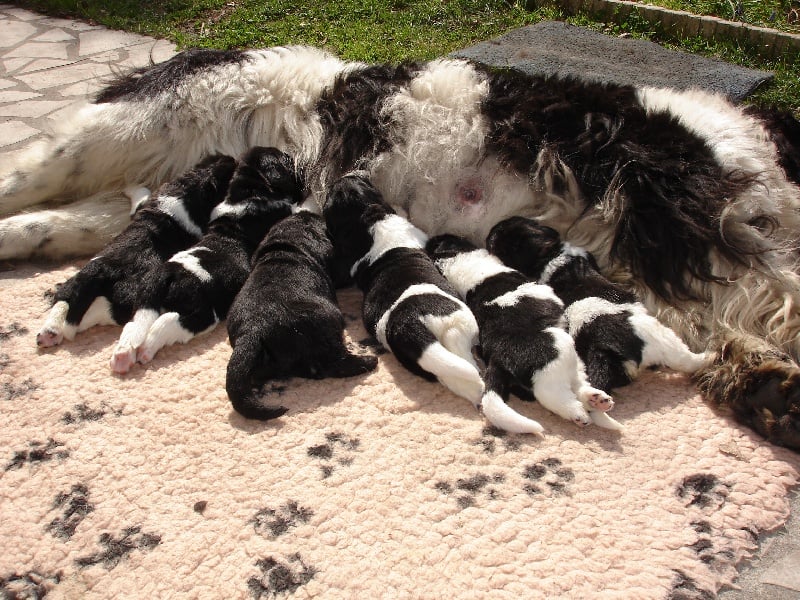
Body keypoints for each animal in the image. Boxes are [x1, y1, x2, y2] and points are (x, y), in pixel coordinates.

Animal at [109, 148, 304, 372]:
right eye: (285, 159)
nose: (295, 157)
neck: (248, 192)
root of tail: (169, 271)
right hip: (203, 314)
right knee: (167, 322)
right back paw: (145, 350)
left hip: (145, 299)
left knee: (136, 323)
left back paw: (123, 353)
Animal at [324, 171, 544, 434]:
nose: (350, 174)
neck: (368, 219)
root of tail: (408, 325)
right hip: (460, 328)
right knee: (470, 364)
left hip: (432, 365)